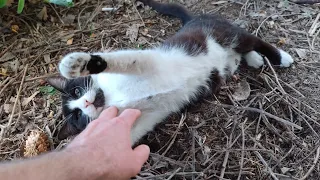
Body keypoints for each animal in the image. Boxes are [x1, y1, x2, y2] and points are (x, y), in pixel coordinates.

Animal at [46, 0, 294, 144]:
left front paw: (76, 64)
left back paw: (279, 56)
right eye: (77, 116)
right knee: (240, 52)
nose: (86, 103)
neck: (111, 96)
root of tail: (194, 19)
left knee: (251, 39)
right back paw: (252, 59)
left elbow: (123, 60)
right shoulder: (144, 119)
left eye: (77, 90)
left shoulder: (148, 62)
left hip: (224, 32)